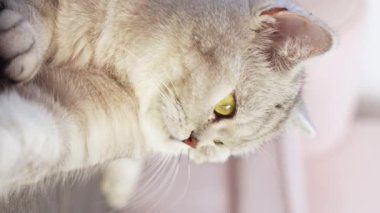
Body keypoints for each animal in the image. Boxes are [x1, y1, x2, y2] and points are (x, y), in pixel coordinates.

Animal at [0, 0, 332, 210]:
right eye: (227, 106)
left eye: (222, 148)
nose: (193, 144)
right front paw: (23, 35)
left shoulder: (74, 119)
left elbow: (28, 140)